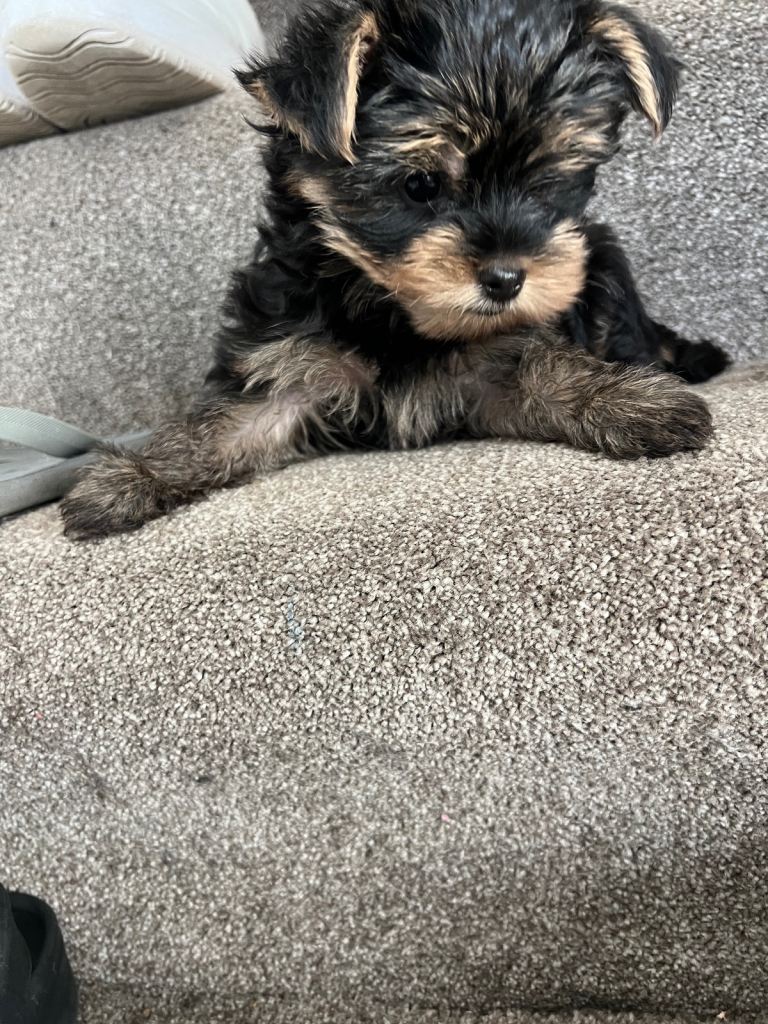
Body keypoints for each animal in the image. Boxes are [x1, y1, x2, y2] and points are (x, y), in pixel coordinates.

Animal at [61, 0, 730, 539]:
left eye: (546, 184)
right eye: (419, 185)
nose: (507, 279)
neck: (387, 308)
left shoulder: (494, 360)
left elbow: (547, 370)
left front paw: (629, 401)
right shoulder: (293, 367)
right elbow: (225, 425)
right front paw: (131, 478)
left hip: (601, 259)